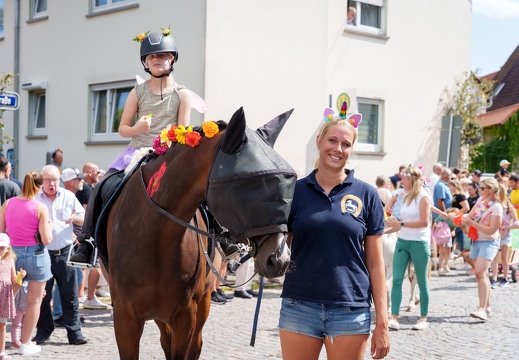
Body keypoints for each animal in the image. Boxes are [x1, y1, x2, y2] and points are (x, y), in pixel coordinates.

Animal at [99, 108, 296, 358]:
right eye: (248, 185)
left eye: (289, 183)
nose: (280, 260)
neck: (153, 237)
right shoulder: (125, 318)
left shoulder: (186, 315)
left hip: (200, 304)